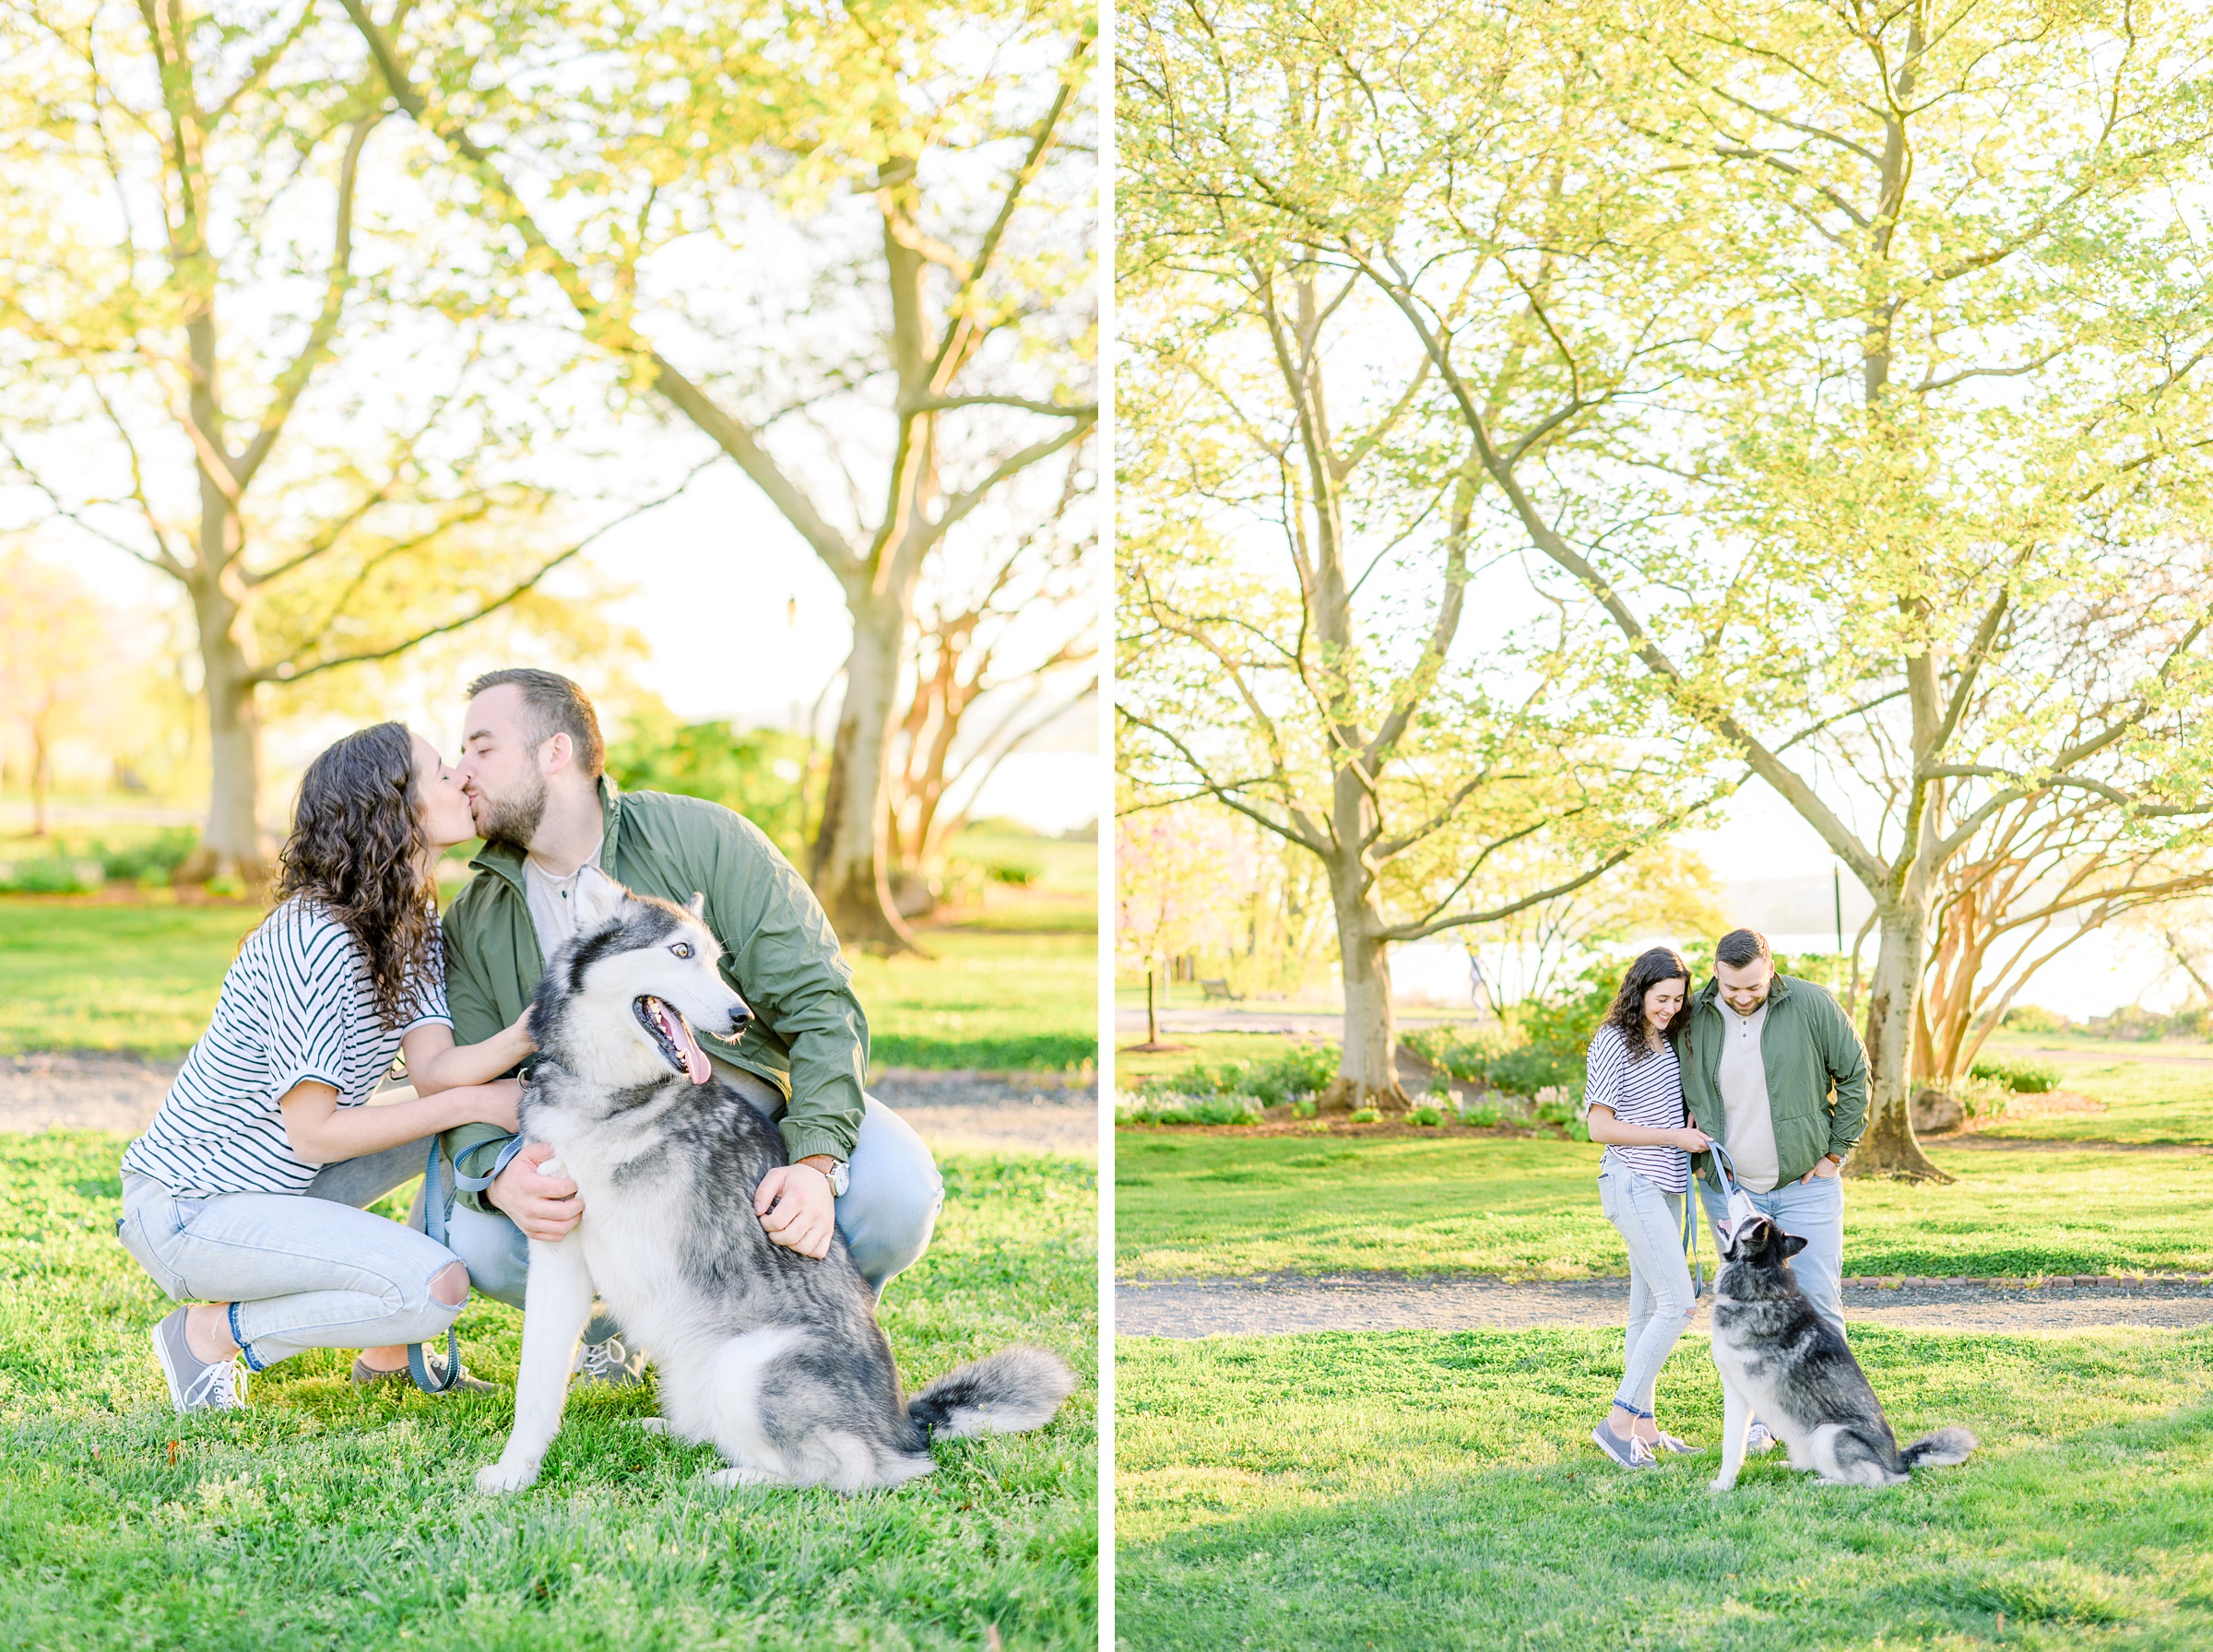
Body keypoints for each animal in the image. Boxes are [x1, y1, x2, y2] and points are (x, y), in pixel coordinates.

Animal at [476, 879, 1080, 1494]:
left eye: (716, 962)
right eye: (680, 952)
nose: (741, 1016)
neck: (607, 1089)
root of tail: (905, 1426)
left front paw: (512, 1474)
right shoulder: (557, 1250)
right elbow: (536, 1384)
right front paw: (517, 1469)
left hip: (746, 1366)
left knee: (851, 1471)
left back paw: (730, 1480)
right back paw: (669, 1432)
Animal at [1699, 1211, 1982, 1494]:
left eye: (1748, 1215)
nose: (1737, 1198)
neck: (1758, 1295)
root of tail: (1899, 1460)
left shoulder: (1739, 1390)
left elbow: (1730, 1446)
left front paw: (1723, 1484)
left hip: (1828, 1434)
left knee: (1875, 1479)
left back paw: (1825, 1482)